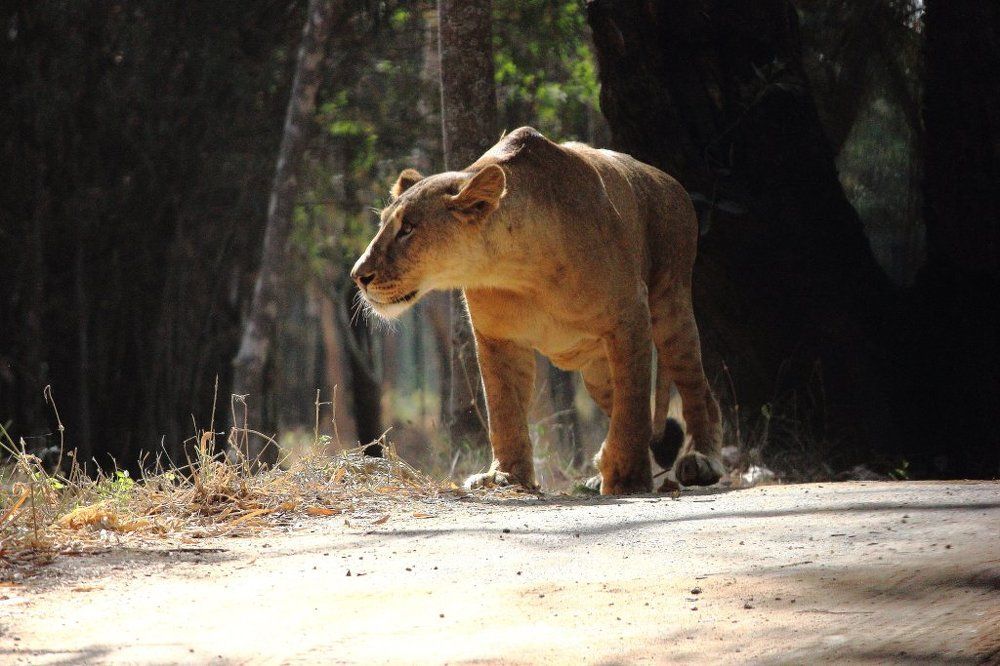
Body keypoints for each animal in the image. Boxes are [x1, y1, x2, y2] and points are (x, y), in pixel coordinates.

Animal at [350, 127, 725, 494]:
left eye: (408, 228)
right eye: (384, 224)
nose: (358, 275)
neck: (518, 271)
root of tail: (670, 182)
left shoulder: (630, 316)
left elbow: (632, 405)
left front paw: (627, 478)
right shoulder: (496, 337)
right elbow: (504, 410)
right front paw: (505, 475)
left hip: (670, 310)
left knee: (698, 392)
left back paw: (701, 461)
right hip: (597, 372)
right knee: (625, 404)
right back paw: (597, 475)